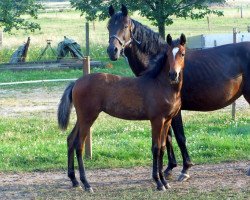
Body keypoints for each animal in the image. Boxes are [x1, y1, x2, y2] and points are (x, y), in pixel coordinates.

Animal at [58, 34, 188, 191]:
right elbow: (155, 148)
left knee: (70, 140)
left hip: (82, 118)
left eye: (182, 53)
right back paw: (86, 183)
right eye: (168, 55)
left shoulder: (167, 120)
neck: (162, 85)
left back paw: (74, 180)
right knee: (79, 145)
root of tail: (76, 82)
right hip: (87, 117)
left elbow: (162, 148)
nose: (173, 74)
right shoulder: (157, 120)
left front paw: (164, 181)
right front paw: (158, 182)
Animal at [106, 4, 249, 181]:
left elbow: (179, 137)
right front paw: (169, 168)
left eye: (125, 26)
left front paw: (185, 169)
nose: (112, 50)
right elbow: (167, 138)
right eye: (108, 26)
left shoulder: (175, 110)